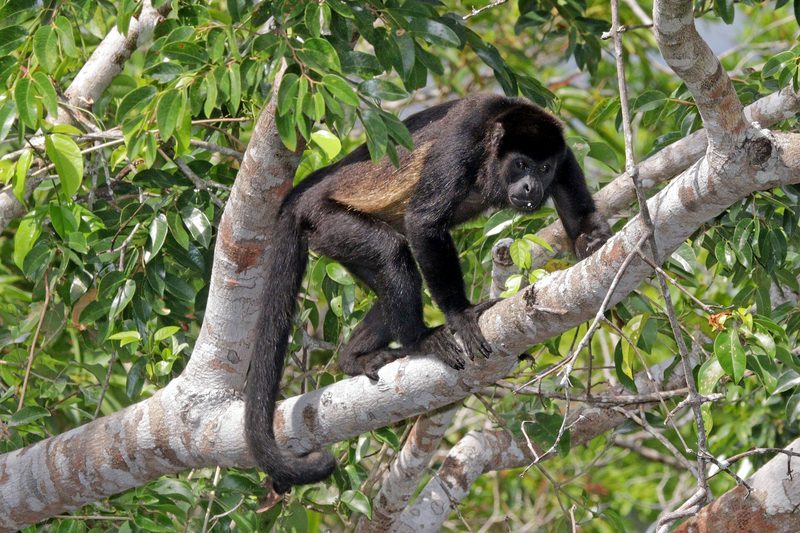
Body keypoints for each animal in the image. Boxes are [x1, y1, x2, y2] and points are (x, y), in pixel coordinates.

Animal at [245, 93, 612, 494]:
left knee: (394, 272)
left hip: (333, 241)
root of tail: (305, 193)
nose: (531, 186)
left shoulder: (565, 158)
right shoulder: (464, 138)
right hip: (327, 220)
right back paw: (419, 341)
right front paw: (462, 315)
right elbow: (425, 221)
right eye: (521, 164)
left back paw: (354, 357)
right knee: (392, 251)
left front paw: (600, 246)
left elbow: (581, 224)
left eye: (544, 168)